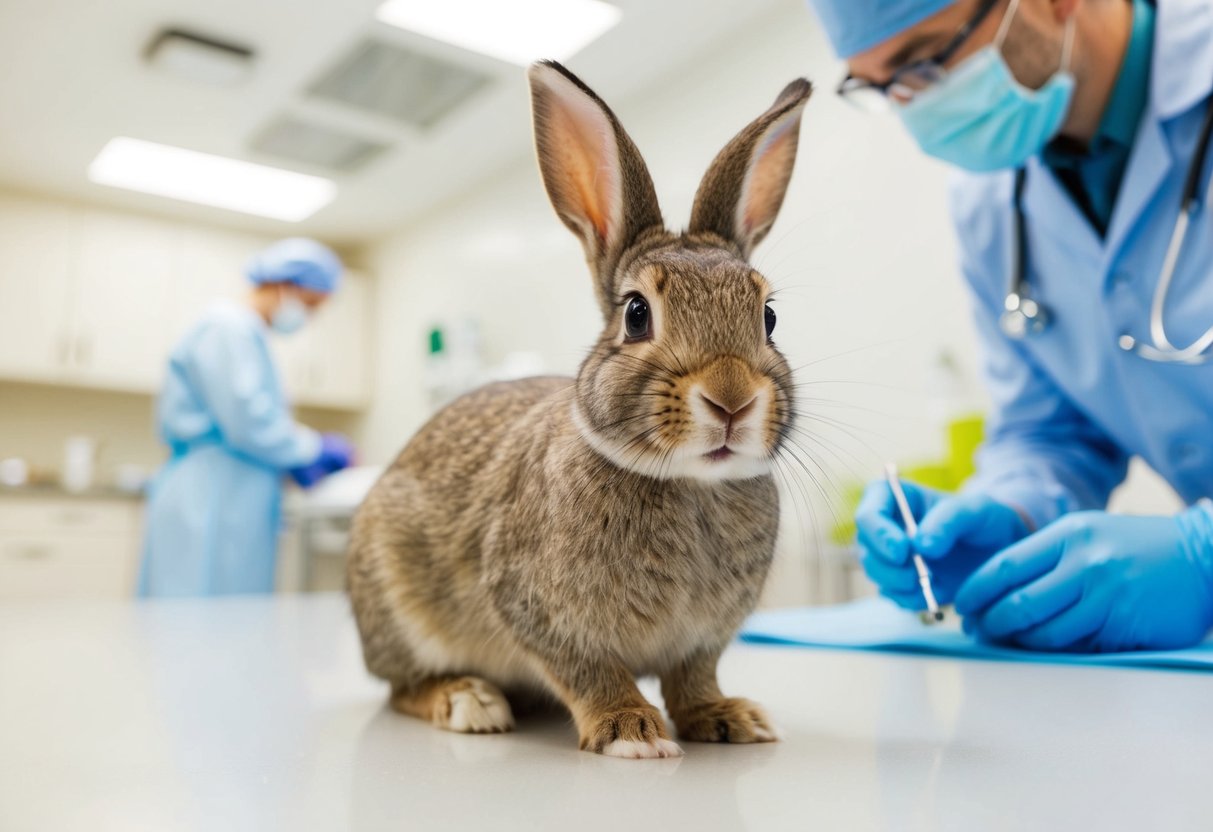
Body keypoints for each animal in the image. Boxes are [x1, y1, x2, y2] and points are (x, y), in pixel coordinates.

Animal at [346, 60, 810, 761]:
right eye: (637, 314)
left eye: (770, 318)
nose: (732, 398)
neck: (689, 483)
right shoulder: (540, 612)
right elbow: (590, 673)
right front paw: (630, 731)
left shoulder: (702, 641)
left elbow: (694, 680)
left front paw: (729, 718)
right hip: (398, 604)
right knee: (401, 687)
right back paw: (468, 701)